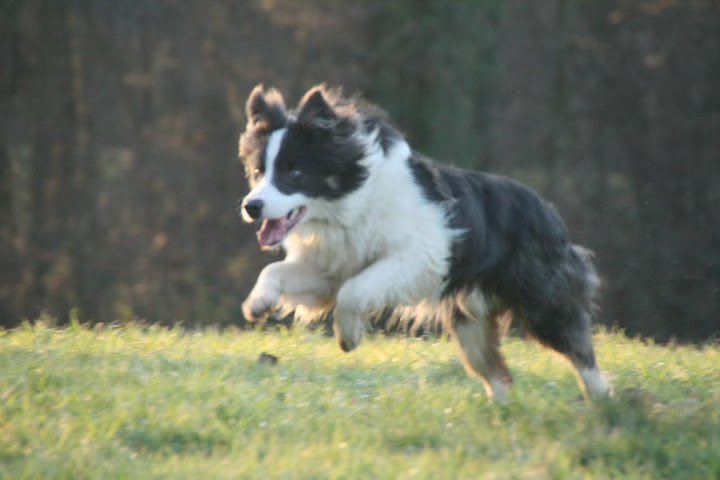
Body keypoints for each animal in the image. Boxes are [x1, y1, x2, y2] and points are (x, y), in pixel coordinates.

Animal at [237, 84, 610, 401]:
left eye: (294, 173)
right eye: (258, 172)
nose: (251, 206)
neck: (348, 201)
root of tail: (549, 212)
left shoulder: (421, 255)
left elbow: (354, 290)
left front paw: (348, 336)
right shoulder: (332, 264)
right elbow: (277, 271)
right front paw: (257, 305)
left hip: (539, 294)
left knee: (575, 345)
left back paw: (603, 402)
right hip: (470, 317)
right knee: (495, 371)